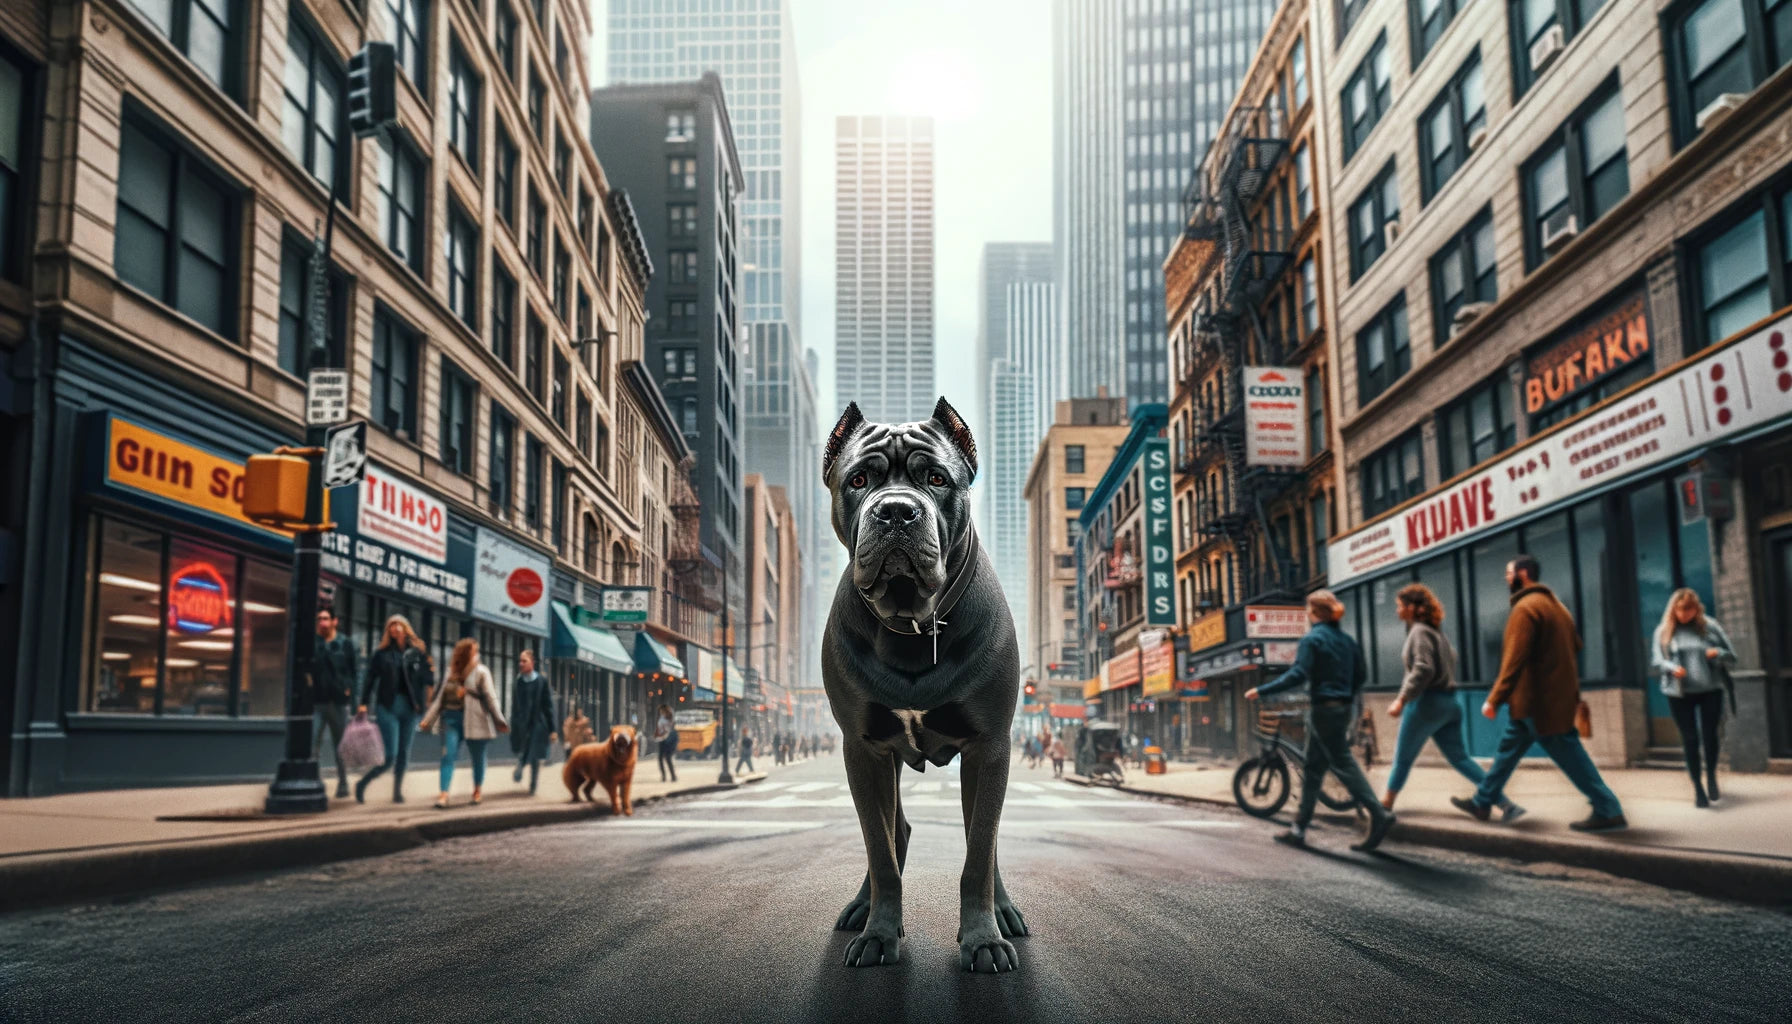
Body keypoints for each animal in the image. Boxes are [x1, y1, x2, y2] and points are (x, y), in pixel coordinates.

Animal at [820, 396, 1032, 975]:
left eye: (937, 478)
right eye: (858, 479)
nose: (896, 511)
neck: (912, 623)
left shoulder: (989, 746)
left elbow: (979, 852)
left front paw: (983, 940)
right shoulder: (863, 749)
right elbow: (881, 849)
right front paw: (879, 933)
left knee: (985, 839)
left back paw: (1004, 912)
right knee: (893, 834)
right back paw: (862, 907)